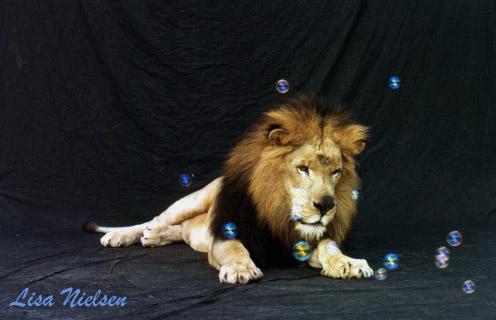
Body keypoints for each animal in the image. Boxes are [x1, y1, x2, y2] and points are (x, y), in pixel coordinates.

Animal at [84, 96, 372, 284]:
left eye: (336, 172)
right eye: (303, 168)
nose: (326, 205)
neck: (278, 211)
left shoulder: (301, 246)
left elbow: (328, 247)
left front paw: (348, 263)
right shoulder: (227, 230)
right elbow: (234, 249)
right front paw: (240, 269)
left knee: (178, 230)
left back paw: (155, 236)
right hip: (195, 199)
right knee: (155, 219)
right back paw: (121, 235)